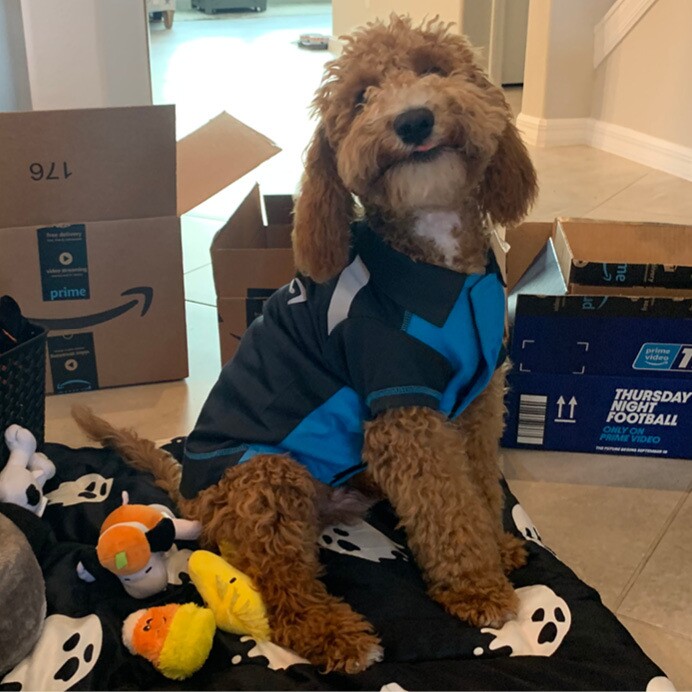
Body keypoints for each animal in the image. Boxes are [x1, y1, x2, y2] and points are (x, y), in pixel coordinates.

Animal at [74, 12, 536, 676]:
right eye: (362, 98)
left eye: (433, 68)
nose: (412, 120)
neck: (436, 258)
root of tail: (194, 495)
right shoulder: (405, 418)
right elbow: (448, 507)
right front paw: (478, 587)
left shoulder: (478, 398)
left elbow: (478, 481)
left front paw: (498, 544)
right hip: (270, 477)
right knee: (282, 592)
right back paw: (336, 633)